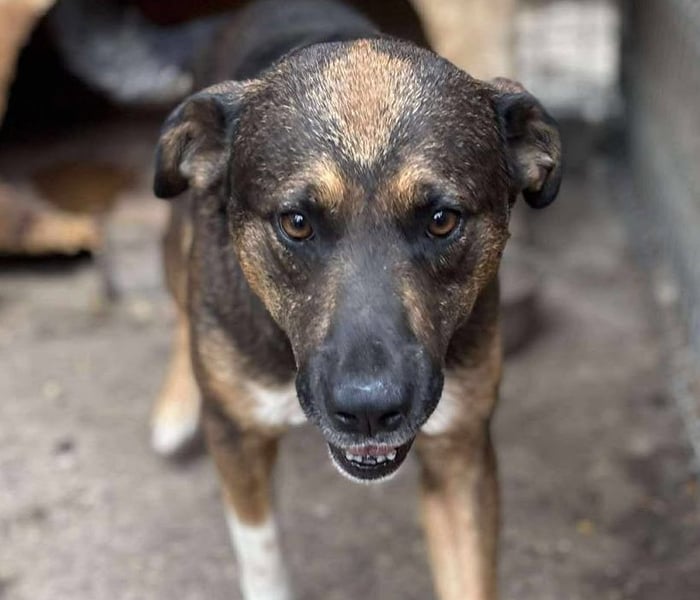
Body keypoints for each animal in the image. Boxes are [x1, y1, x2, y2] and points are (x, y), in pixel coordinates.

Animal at [150, 0, 562, 598]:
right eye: (296, 223)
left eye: (443, 220)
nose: (369, 411)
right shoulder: (238, 442)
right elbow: (262, 556)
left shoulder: (460, 454)